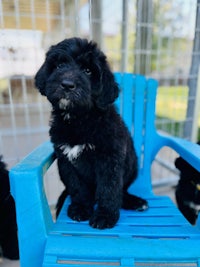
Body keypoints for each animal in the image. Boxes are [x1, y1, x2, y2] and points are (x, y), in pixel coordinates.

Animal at [35, 37, 148, 230]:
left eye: (87, 71)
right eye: (59, 65)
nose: (67, 85)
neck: (79, 119)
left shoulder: (109, 159)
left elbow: (109, 188)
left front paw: (105, 216)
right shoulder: (66, 161)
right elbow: (77, 187)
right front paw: (81, 208)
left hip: (132, 165)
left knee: (122, 190)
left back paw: (134, 201)